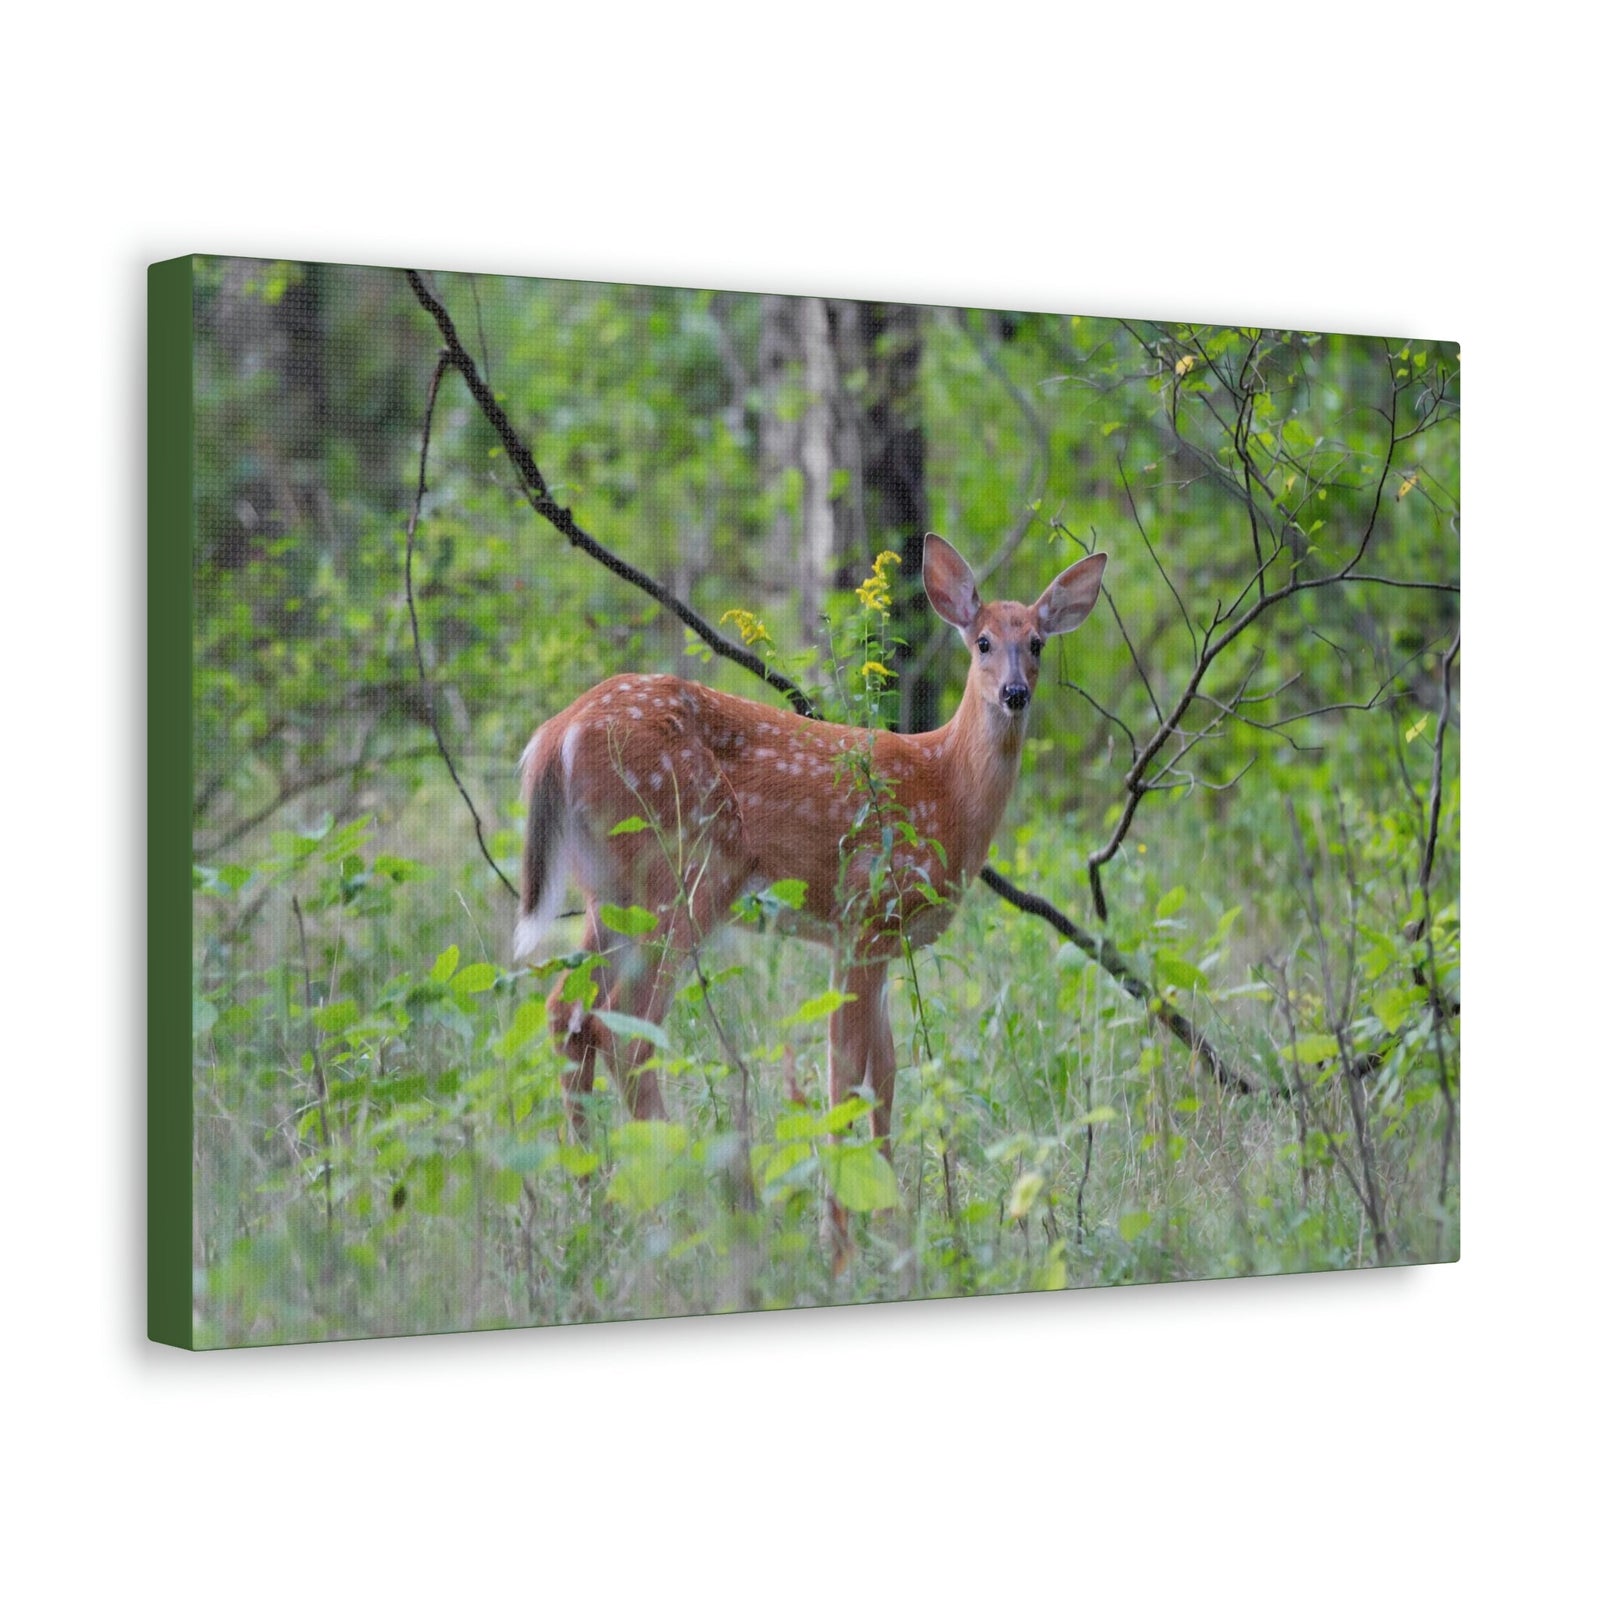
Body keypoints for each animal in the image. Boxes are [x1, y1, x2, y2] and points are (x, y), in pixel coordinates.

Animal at [513, 533, 1106, 1166]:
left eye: (1038, 642)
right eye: (984, 642)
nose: (1015, 693)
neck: (946, 789)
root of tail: (555, 735)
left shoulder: (879, 942)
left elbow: (886, 1075)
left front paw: (891, 1185)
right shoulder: (863, 913)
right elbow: (846, 1073)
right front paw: (843, 1179)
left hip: (610, 889)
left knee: (566, 1012)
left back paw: (590, 1176)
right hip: (683, 870)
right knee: (625, 1029)